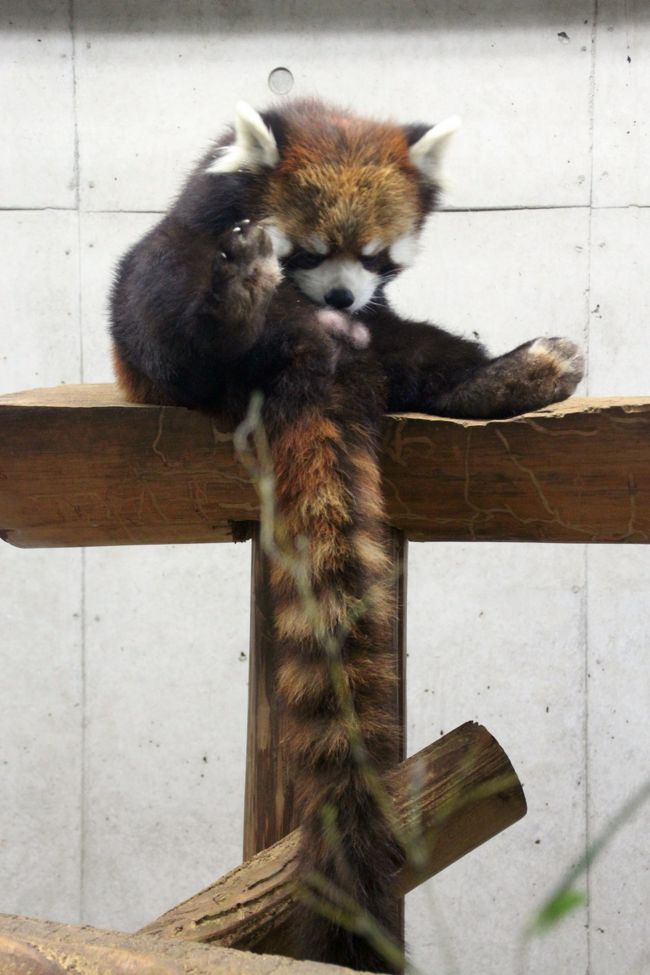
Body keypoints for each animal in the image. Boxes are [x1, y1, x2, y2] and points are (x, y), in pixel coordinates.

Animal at [111, 99, 584, 968]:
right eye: (309, 248)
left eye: (374, 256)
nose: (336, 294)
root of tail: (307, 356)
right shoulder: (184, 238)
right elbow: (163, 292)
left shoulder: (381, 304)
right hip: (170, 320)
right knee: (175, 318)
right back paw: (238, 304)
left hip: (386, 340)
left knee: (422, 356)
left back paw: (517, 373)